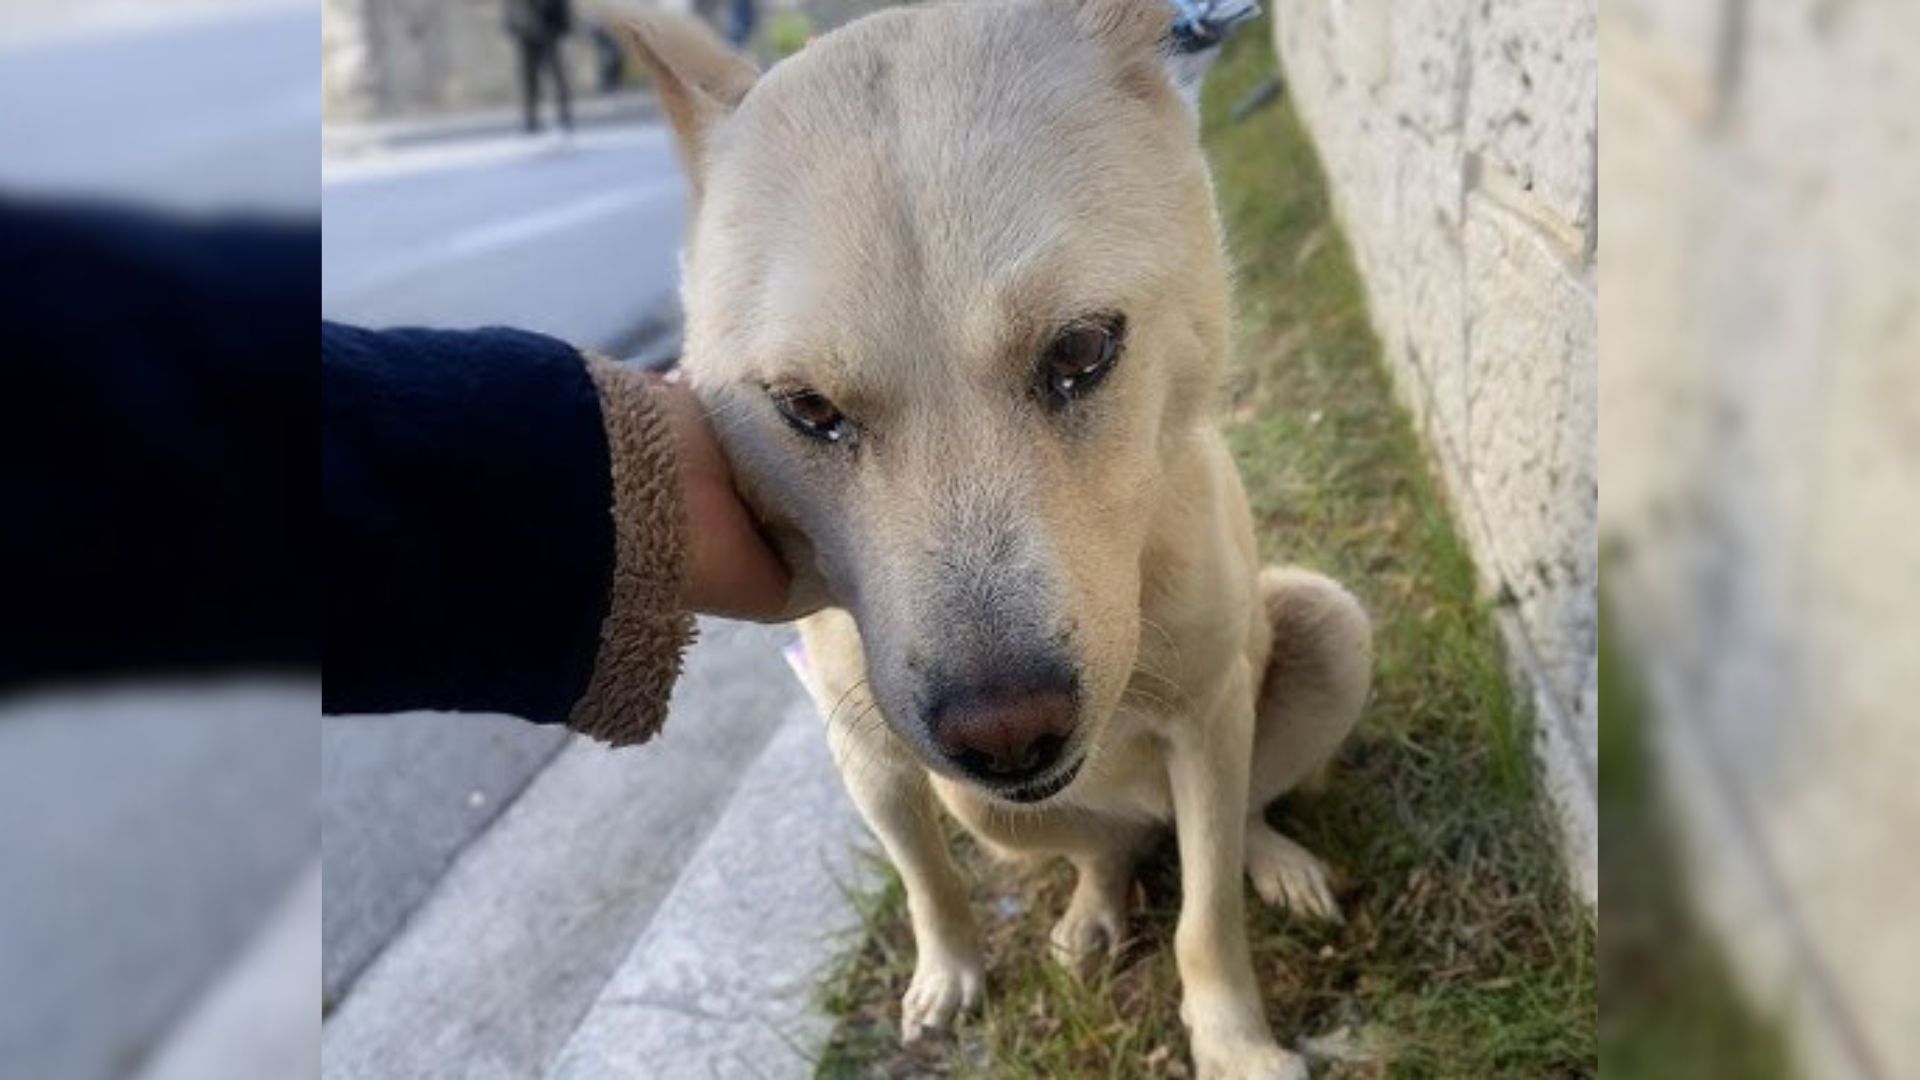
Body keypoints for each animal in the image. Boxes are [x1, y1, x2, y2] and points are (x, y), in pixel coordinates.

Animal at [622, 4, 1374, 1068]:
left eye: (1082, 350)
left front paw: (1233, 1045)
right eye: (806, 408)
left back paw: (1274, 861)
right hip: (983, 805)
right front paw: (948, 974)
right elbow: (925, 881)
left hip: (1327, 626)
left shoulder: (1209, 716)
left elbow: (1207, 917)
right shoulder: (873, 756)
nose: (1006, 731)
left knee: (1238, 820)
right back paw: (1094, 913)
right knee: (1104, 849)